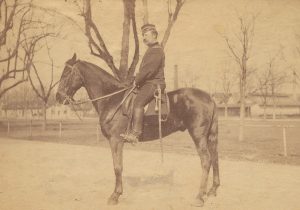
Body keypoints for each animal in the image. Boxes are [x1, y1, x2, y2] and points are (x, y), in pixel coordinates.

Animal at [56, 54, 219, 207]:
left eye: (66, 73)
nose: (58, 97)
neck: (112, 99)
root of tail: (209, 98)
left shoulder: (116, 140)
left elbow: (117, 167)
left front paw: (115, 195)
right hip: (209, 136)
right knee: (214, 157)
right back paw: (212, 190)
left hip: (198, 135)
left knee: (206, 160)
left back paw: (199, 197)